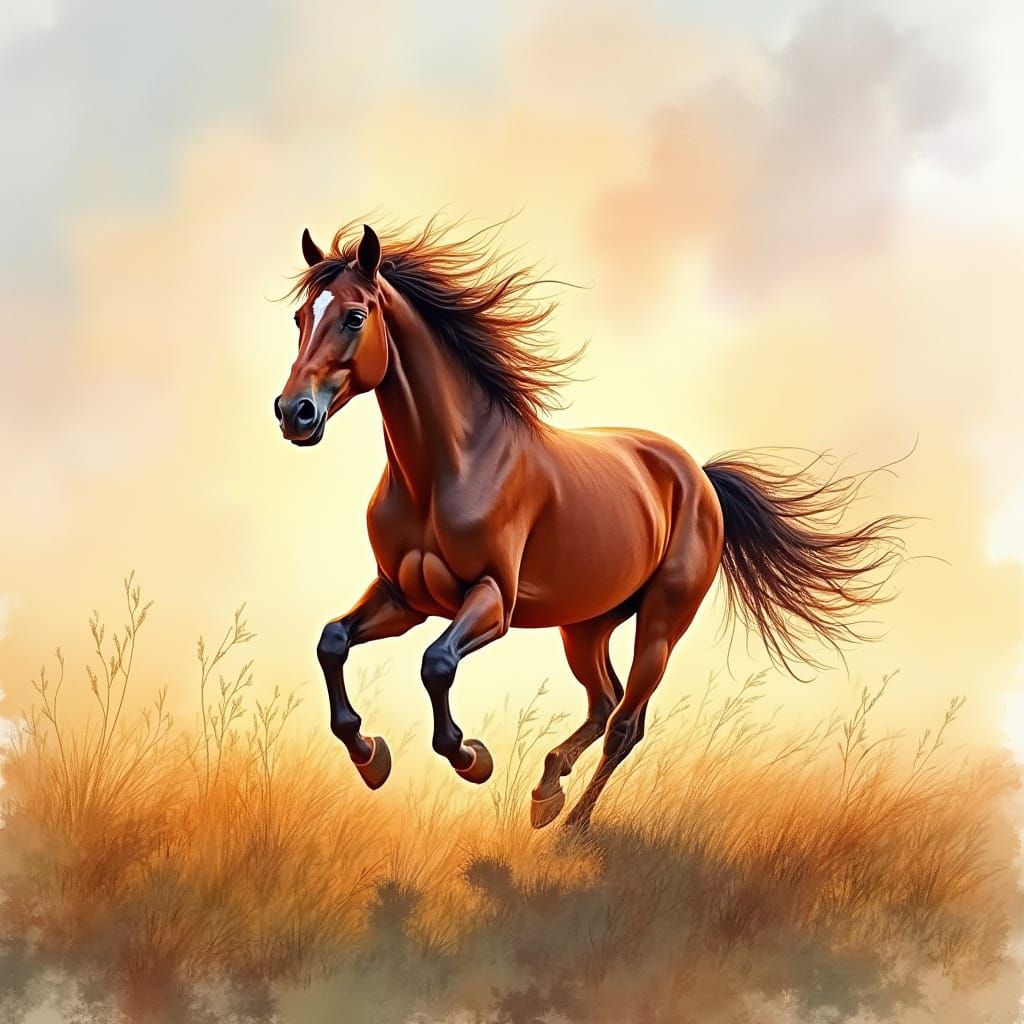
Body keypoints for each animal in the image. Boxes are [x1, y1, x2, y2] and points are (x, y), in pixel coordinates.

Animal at [273, 218, 904, 830]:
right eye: (301, 317)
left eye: (354, 317)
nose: (293, 413)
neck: (448, 468)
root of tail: (696, 475)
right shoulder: (403, 597)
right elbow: (332, 642)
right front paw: (369, 755)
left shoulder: (492, 601)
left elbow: (437, 663)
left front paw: (472, 758)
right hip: (586, 624)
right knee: (604, 702)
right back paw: (546, 790)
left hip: (660, 624)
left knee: (626, 722)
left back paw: (571, 825)